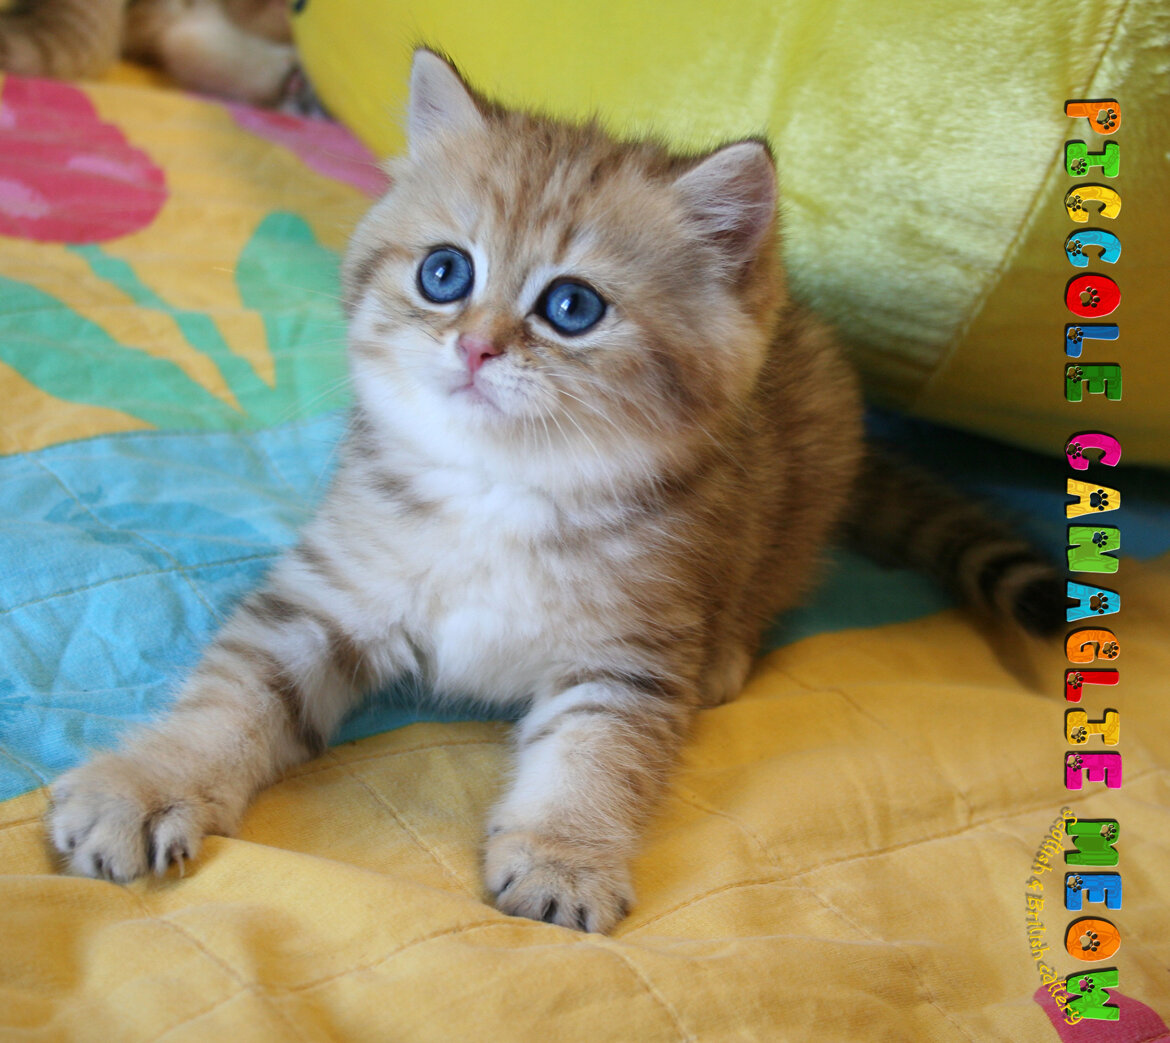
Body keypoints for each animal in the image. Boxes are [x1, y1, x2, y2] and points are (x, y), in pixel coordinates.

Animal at [46, 49, 1064, 934]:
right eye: (444, 272)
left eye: (572, 307)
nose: (476, 345)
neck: (501, 490)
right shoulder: (324, 597)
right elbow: (233, 697)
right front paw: (148, 783)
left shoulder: (626, 656)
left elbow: (594, 761)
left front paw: (567, 856)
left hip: (810, 461)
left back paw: (726, 655)